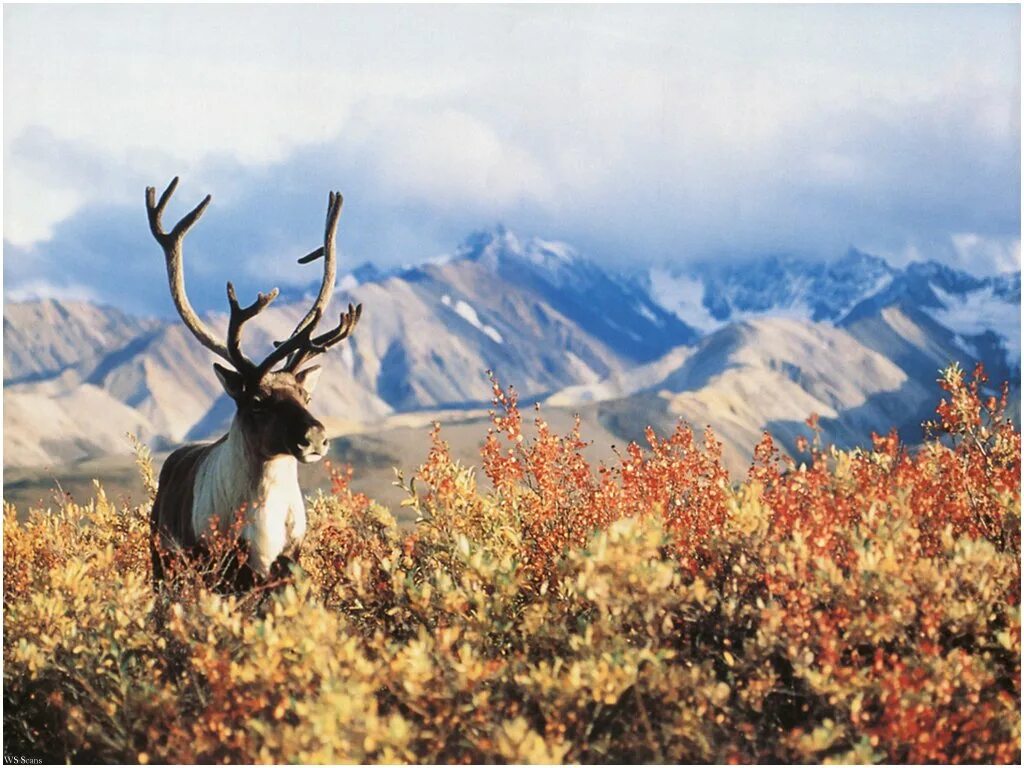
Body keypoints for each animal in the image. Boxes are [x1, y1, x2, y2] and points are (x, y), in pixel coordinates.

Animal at [145, 177, 362, 591]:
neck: (265, 525)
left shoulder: (290, 564)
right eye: (258, 400)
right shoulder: (225, 569)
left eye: (306, 395)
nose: (315, 437)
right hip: (163, 562)